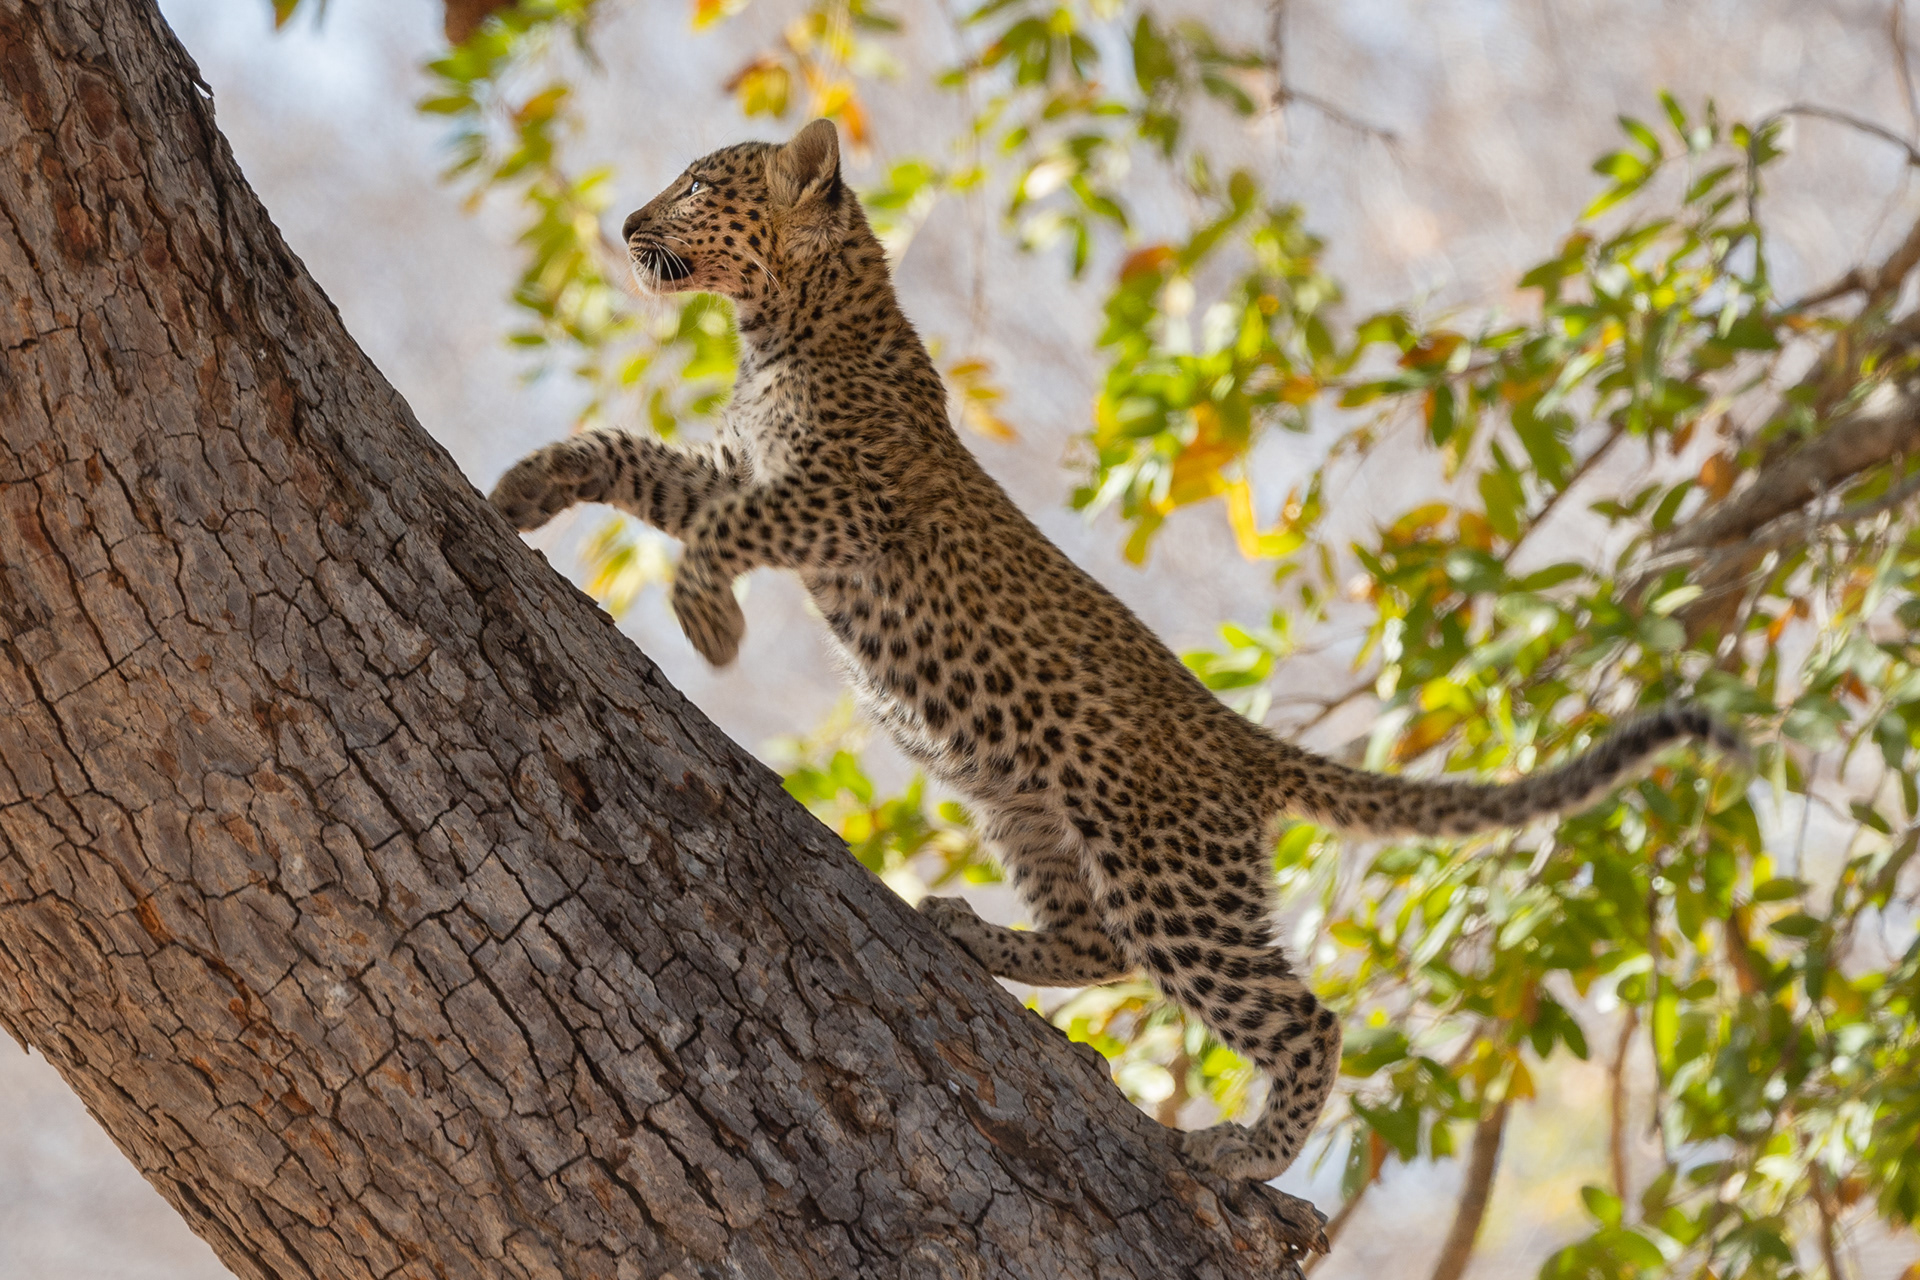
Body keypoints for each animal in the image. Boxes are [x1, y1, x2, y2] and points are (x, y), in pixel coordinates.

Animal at [488, 118, 1743, 1183]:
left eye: (700, 186)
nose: (626, 224)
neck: (782, 327)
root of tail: (1239, 740)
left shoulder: (836, 505)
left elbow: (711, 536)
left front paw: (712, 624)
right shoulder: (747, 471)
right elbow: (636, 458)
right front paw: (526, 487)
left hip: (1171, 869)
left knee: (1297, 1013)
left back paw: (1248, 1153)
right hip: (1032, 807)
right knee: (1097, 939)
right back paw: (975, 932)